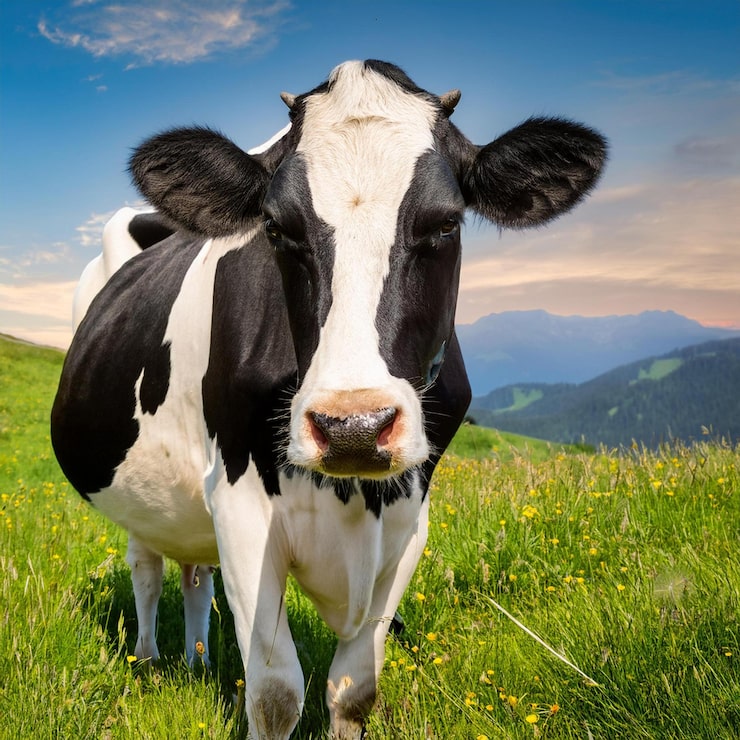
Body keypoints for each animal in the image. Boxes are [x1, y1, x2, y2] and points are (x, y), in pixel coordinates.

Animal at [51, 60, 606, 738]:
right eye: (275, 227)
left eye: (447, 222)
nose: (354, 427)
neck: (354, 499)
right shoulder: (239, 500)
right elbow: (274, 694)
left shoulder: (410, 516)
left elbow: (354, 690)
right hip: (136, 490)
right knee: (148, 568)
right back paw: (151, 661)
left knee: (195, 575)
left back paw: (198, 660)